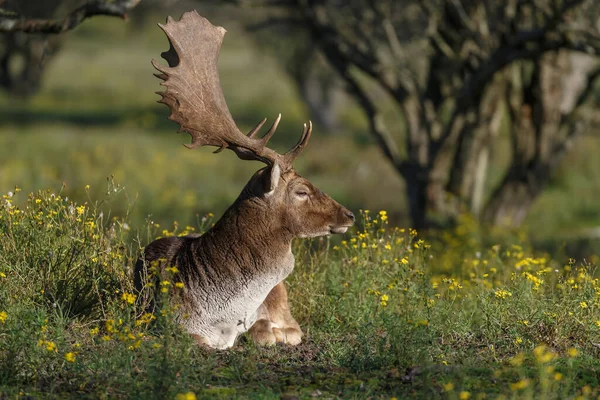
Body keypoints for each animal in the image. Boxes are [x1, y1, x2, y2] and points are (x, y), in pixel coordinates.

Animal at [134, 10, 354, 350]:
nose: (349, 214)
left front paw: (270, 332)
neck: (220, 314)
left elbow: (274, 331)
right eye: (301, 191)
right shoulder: (167, 324)